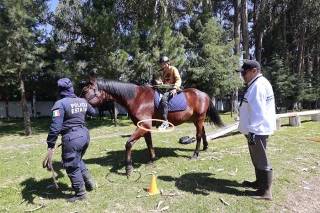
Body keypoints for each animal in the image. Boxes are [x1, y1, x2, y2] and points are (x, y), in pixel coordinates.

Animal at [81, 75, 224, 176]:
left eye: (86, 91)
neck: (136, 98)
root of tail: (203, 93)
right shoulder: (144, 126)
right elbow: (149, 143)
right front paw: (152, 159)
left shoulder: (143, 125)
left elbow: (128, 143)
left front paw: (128, 167)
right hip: (196, 119)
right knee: (203, 132)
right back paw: (205, 147)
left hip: (199, 118)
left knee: (198, 135)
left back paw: (195, 154)